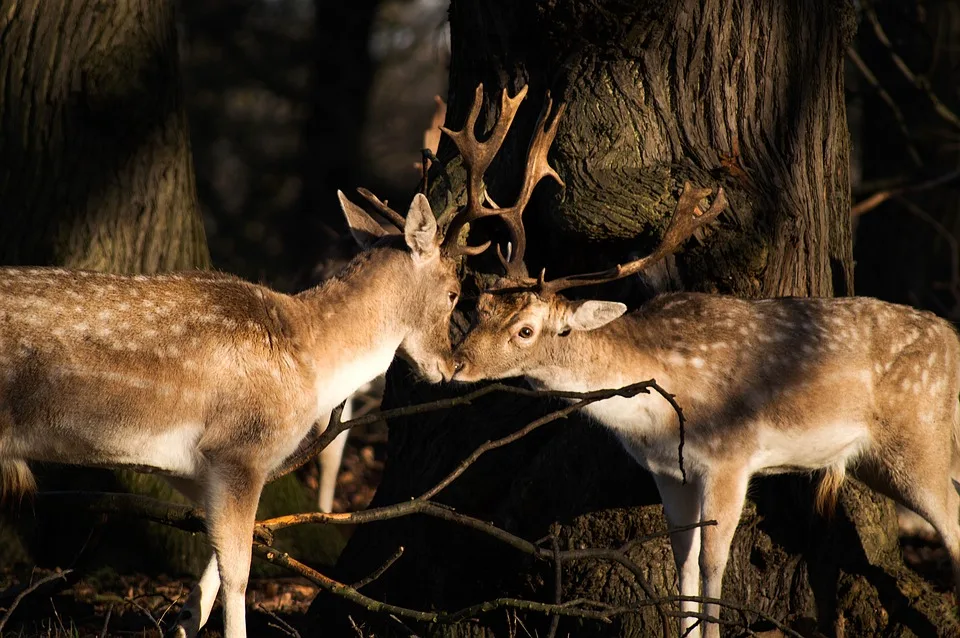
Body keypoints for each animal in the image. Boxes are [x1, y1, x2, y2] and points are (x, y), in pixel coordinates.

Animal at [454, 172, 960, 632]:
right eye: (480, 309)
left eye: (525, 330)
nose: (457, 363)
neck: (658, 416)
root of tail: (953, 337)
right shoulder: (668, 473)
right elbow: (683, 560)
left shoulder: (730, 458)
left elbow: (712, 565)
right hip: (877, 460)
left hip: (920, 439)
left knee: (952, 524)